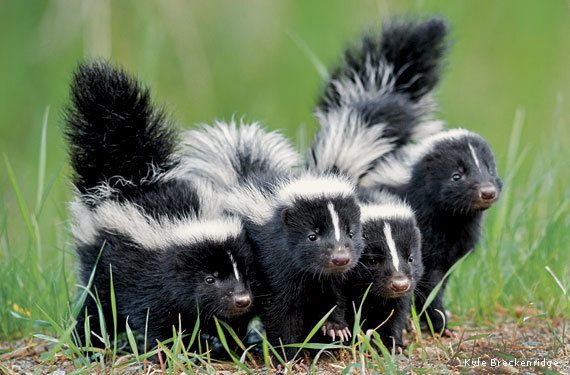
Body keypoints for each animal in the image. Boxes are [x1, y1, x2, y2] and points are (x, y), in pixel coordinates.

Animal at [63, 60, 255, 352]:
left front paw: (233, 345)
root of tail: (129, 179)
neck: (187, 221)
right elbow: (157, 321)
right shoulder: (149, 282)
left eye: (244, 271)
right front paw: (173, 350)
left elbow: (226, 323)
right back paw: (88, 342)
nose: (242, 299)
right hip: (100, 267)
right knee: (97, 308)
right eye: (209, 278)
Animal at [338, 191, 422, 352]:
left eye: (411, 258)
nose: (400, 284)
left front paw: (394, 344)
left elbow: (396, 313)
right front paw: (356, 342)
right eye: (372, 261)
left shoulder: (401, 296)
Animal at [360, 129, 502, 334]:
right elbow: (428, 284)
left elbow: (437, 283)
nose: (488, 192)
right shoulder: (424, 236)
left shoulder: (452, 247)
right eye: (456, 176)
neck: (452, 220)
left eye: (490, 170)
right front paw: (438, 323)